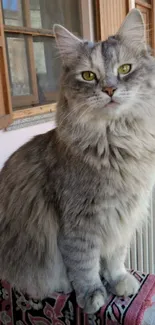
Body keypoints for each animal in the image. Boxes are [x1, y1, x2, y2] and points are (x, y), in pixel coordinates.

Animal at [0, 9, 155, 314]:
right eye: (88, 75)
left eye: (124, 69)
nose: (109, 89)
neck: (117, 145)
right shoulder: (78, 222)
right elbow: (84, 265)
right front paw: (92, 295)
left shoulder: (122, 215)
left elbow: (115, 257)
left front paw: (118, 281)